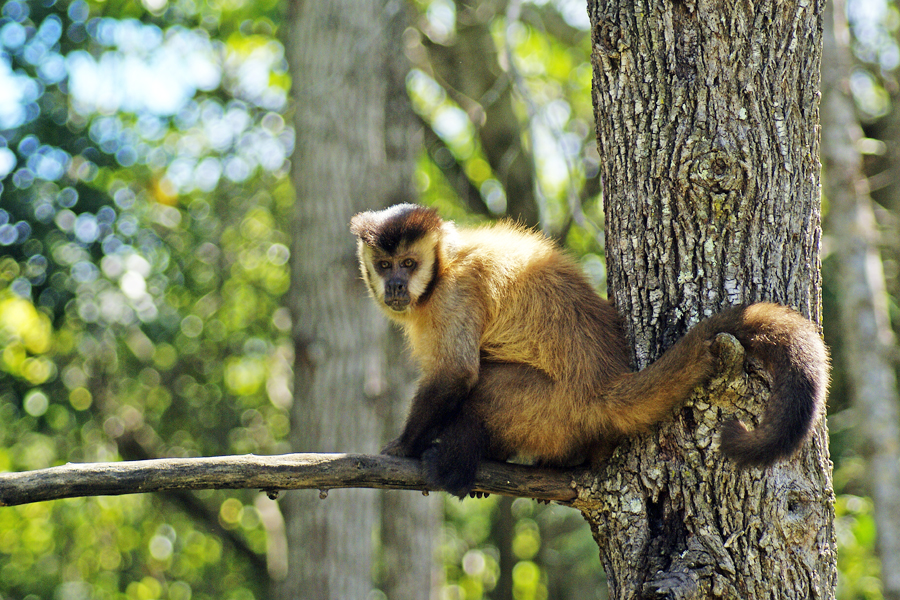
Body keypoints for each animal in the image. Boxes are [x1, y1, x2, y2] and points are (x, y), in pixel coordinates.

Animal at [349, 204, 829, 498]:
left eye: (409, 264)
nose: (396, 285)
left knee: (486, 386)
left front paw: (404, 447)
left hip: (554, 409)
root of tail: (605, 384)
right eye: (384, 265)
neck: (443, 269)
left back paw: (456, 464)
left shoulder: (454, 294)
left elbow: (457, 375)